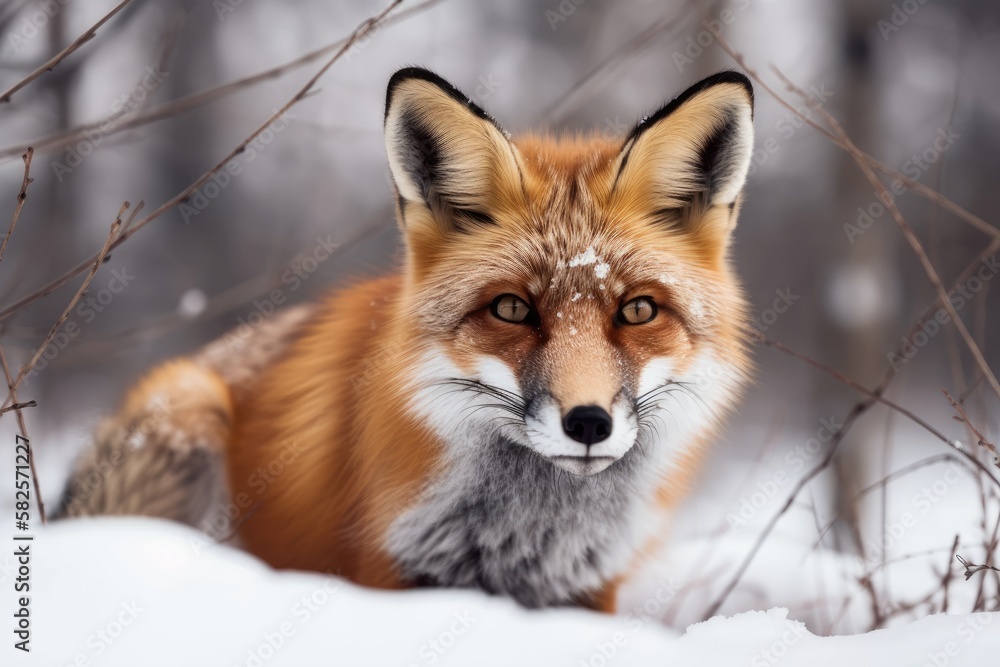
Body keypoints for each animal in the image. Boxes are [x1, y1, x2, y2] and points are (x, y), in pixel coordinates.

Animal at [59, 67, 755, 612]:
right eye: (512, 308)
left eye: (638, 310)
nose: (588, 423)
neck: (528, 534)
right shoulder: (386, 569)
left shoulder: (591, 587)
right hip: (186, 408)